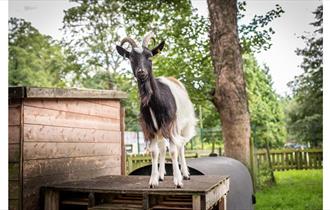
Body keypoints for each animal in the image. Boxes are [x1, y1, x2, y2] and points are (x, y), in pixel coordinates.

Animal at [116, 32, 196, 188]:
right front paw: (153, 181)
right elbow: (154, 152)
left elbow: (173, 151)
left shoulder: (170, 124)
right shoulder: (150, 127)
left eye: (149, 56)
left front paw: (178, 181)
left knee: (181, 146)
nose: (141, 72)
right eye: (131, 57)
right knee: (162, 148)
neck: (154, 103)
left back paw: (185, 173)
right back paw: (161, 175)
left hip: (183, 125)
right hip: (160, 130)